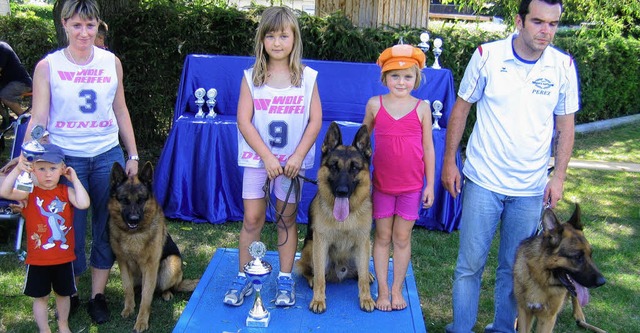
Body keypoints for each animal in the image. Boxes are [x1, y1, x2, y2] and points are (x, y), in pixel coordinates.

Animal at [109, 161, 200, 332]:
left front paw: (141, 321)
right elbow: (127, 288)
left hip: (171, 263)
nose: (133, 219)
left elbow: (146, 298)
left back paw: (166, 293)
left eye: (141, 200)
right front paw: (129, 308)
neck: (134, 235)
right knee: (136, 288)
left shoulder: (150, 266)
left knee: (166, 287)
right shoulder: (123, 263)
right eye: (124, 200)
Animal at [294, 122, 376, 314]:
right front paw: (318, 300)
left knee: (360, 271)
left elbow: (362, 278)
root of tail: (340, 270)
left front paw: (366, 298)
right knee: (311, 271)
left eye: (354, 168)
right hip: (311, 247)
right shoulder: (321, 242)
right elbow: (319, 279)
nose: (342, 191)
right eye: (334, 167)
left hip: (365, 248)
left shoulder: (363, 240)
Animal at [512, 202, 608, 332]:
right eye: (577, 256)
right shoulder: (524, 312)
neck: (541, 279)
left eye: (590, 254)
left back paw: (579, 314)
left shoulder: (548, 318)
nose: (602, 282)